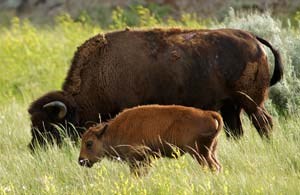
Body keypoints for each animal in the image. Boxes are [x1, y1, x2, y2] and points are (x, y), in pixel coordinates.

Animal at [27, 27, 282, 149]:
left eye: (50, 126)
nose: (34, 148)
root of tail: (253, 39)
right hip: (231, 106)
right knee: (236, 130)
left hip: (250, 102)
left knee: (264, 123)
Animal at [77, 105, 223, 174]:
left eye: (89, 143)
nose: (81, 161)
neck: (112, 131)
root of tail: (208, 113)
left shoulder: (137, 159)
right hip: (211, 152)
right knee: (217, 166)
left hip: (199, 153)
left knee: (212, 167)